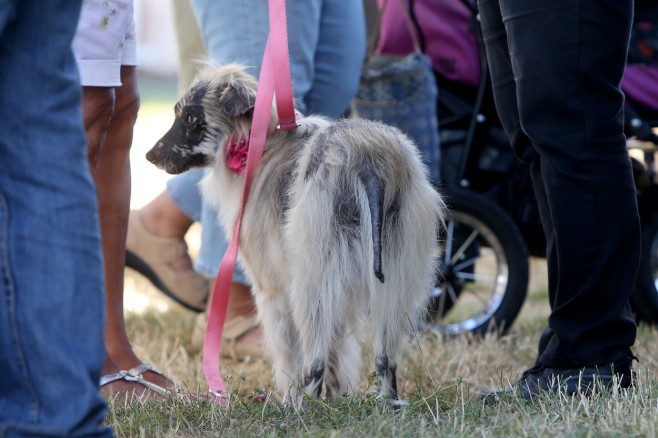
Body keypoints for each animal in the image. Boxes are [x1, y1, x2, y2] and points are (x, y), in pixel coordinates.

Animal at [147, 63, 446, 406]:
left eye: (191, 118)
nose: (149, 155)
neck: (260, 143)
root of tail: (369, 160)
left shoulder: (272, 289)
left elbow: (290, 354)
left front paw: (295, 397)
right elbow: (339, 350)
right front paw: (336, 396)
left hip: (312, 278)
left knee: (314, 360)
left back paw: (302, 408)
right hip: (396, 274)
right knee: (385, 359)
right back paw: (384, 403)